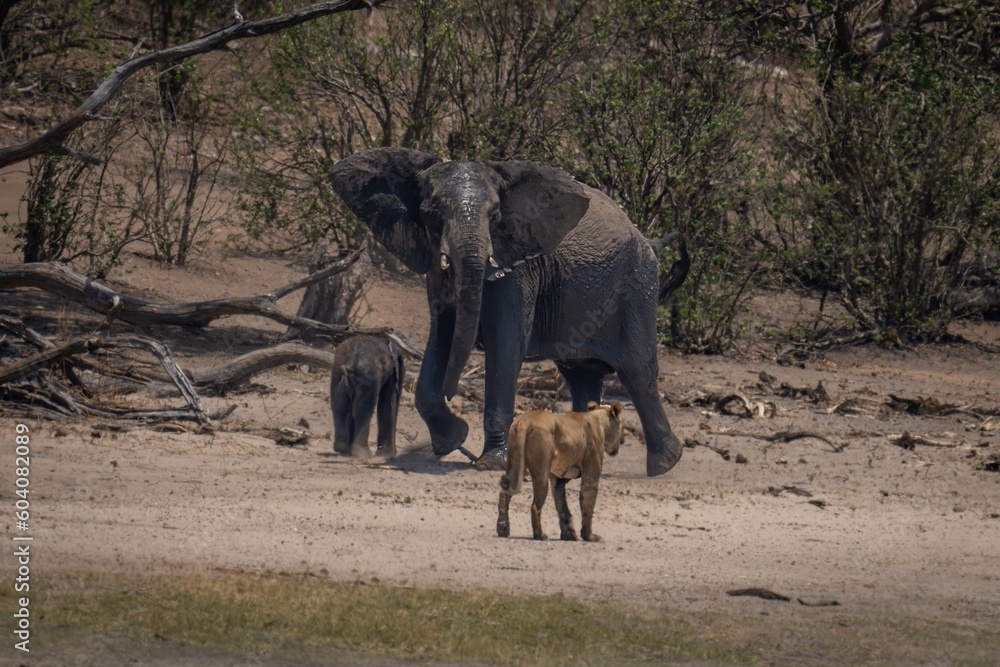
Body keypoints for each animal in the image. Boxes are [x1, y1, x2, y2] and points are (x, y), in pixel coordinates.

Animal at [330, 147, 689, 476]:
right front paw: (453, 440)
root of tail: (648, 239)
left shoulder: (518, 270)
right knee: (582, 377)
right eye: (432, 214)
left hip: (636, 287)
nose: (452, 392)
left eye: (494, 215)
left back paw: (664, 465)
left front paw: (489, 463)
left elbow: (504, 348)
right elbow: (440, 340)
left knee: (636, 372)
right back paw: (576, 468)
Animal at [496, 401, 625, 541]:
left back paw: (502, 528)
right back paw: (540, 535)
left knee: (504, 493)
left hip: (516, 466)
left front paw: (569, 535)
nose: (623, 441)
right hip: (541, 472)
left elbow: (562, 506)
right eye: (622, 426)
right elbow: (587, 500)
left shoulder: (559, 478)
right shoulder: (591, 470)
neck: (599, 421)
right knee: (535, 506)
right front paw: (589, 536)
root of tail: (524, 421)